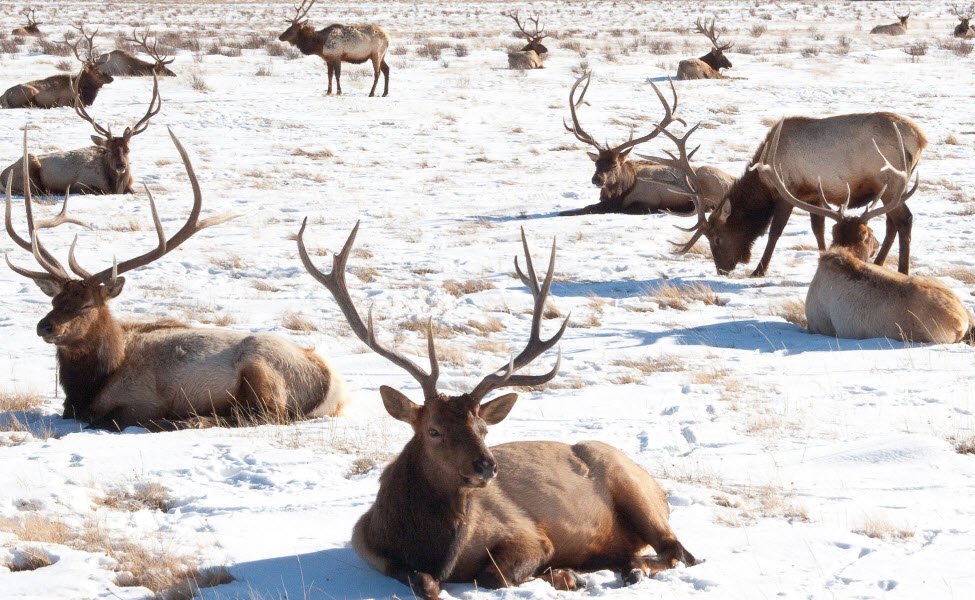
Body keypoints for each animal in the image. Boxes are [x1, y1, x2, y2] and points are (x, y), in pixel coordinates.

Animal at [0, 75, 161, 196]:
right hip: (30, 164)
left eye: (128, 150)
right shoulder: (80, 184)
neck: (116, 185)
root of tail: (3, 175)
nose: (121, 165)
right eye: (109, 151)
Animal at [4, 129, 350, 431]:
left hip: (262, 369)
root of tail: (332, 385)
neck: (94, 381)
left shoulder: (139, 399)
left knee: (262, 414)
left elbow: (110, 418)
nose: (45, 326)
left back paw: (184, 420)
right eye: (55, 299)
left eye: (87, 304)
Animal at [297, 221, 696, 599]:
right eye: (433, 430)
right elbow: (422, 582)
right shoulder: (369, 548)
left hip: (634, 489)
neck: (434, 551)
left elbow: (493, 575)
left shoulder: (528, 534)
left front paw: (563, 575)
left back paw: (634, 569)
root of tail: (659, 489)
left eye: (483, 428)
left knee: (678, 550)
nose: (487, 466)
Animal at [561, 72, 734, 216]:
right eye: (597, 163)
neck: (621, 192)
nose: (597, 179)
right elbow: (585, 207)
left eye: (614, 165)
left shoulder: (648, 201)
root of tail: (732, 180)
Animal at [674, 112, 927, 277]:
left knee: (904, 219)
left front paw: (759, 270)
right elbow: (818, 230)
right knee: (892, 223)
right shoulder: (814, 196)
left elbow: (775, 232)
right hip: (890, 189)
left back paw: (902, 270)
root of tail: (920, 139)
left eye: (717, 238)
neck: (765, 183)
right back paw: (880, 262)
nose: (721, 269)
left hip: (891, 183)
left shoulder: (787, 192)